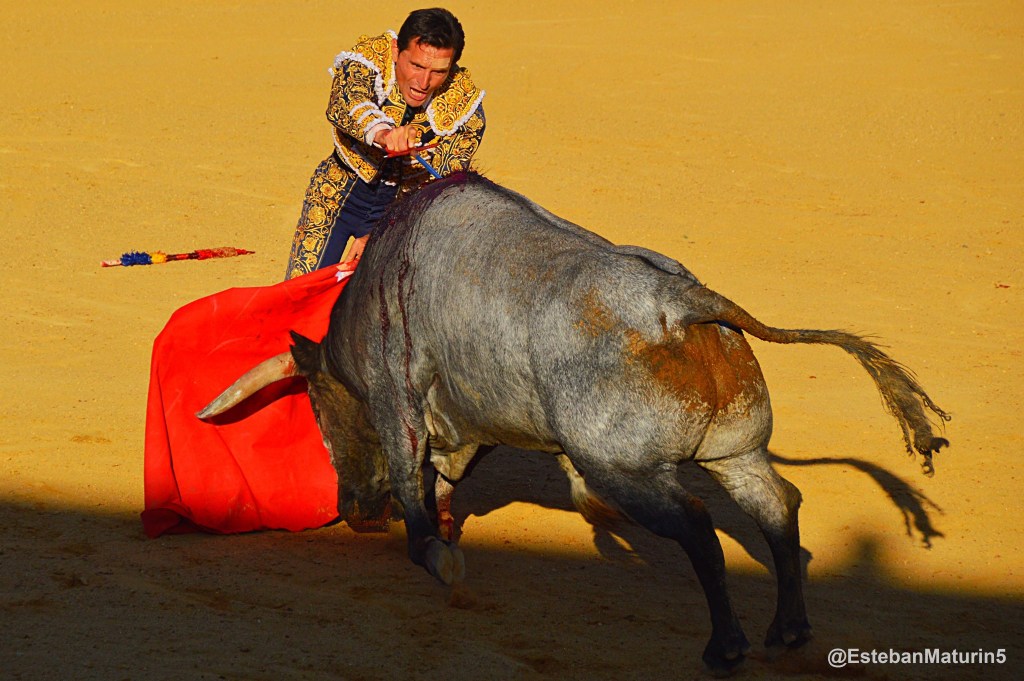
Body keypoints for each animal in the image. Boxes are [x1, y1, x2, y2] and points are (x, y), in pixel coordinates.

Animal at [199, 172, 949, 673]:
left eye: (321, 409)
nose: (353, 509)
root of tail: (686, 302)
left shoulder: (398, 400)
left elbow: (419, 501)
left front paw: (442, 557)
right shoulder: (473, 419)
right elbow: (448, 477)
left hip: (622, 464)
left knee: (698, 526)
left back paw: (725, 645)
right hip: (734, 449)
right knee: (777, 506)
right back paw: (786, 629)